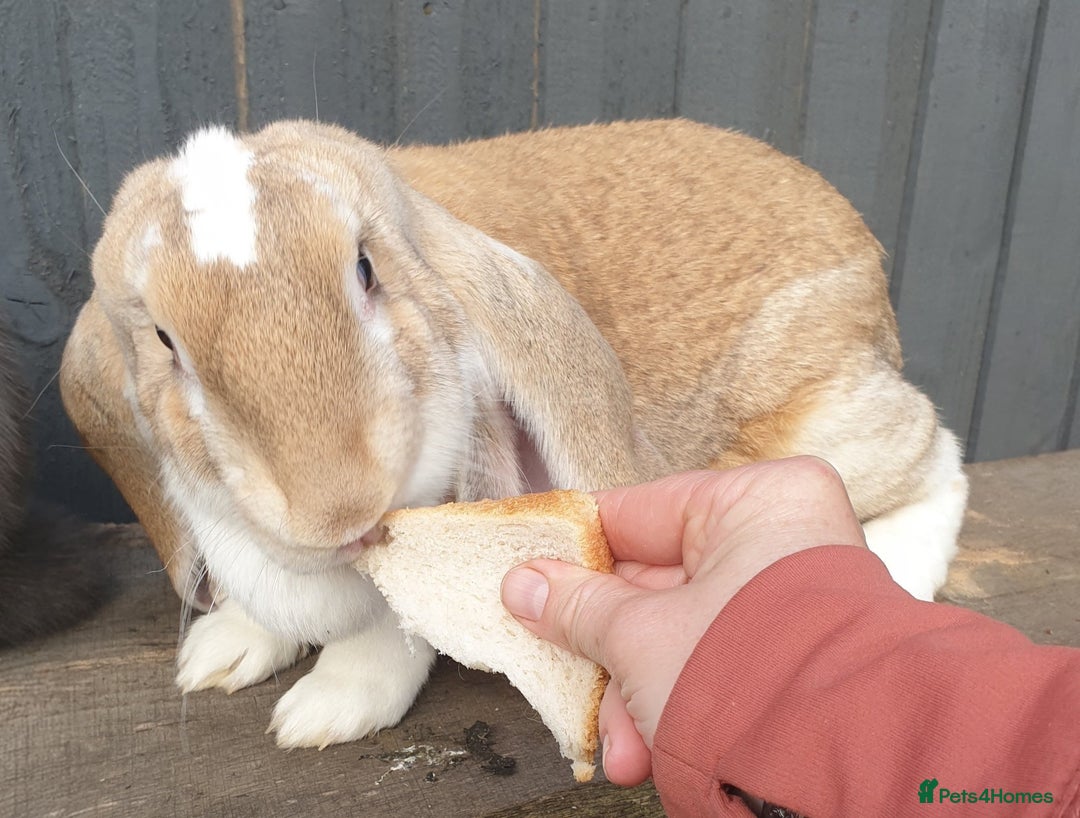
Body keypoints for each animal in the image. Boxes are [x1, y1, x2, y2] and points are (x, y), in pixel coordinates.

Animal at [60, 118, 968, 748]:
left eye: (365, 268)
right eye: (164, 340)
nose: (341, 509)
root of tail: (869, 255)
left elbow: (395, 618)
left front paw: (330, 706)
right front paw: (224, 652)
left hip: (824, 425)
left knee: (938, 462)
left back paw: (895, 571)